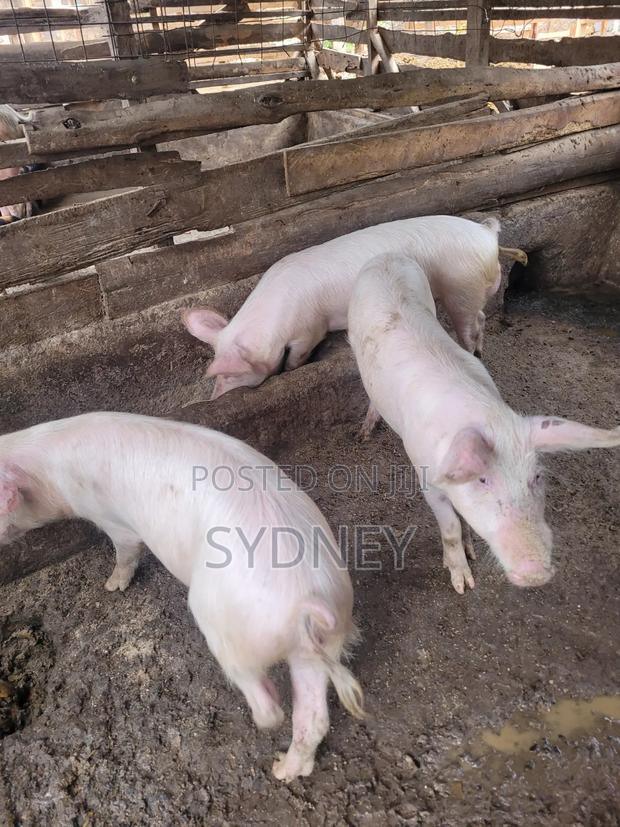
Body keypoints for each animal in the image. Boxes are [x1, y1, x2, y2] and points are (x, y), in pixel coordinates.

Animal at [0, 412, 364, 780]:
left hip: (219, 621)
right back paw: (283, 770)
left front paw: (111, 586)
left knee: (267, 706)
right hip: (315, 647)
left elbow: (125, 551)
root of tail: (308, 596)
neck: (46, 471)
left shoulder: (111, 520)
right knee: (313, 716)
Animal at [182, 215, 527, 399]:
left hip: (460, 287)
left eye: (229, 375)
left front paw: (291, 369)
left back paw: (471, 353)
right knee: (480, 317)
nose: (214, 397)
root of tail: (487, 234)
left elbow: (298, 356)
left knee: (468, 326)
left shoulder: (309, 329)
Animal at [348, 253, 620, 593]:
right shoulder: (426, 476)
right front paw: (463, 584)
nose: (536, 572)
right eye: (482, 480)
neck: (490, 420)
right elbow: (450, 526)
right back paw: (363, 432)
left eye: (537, 477)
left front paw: (471, 552)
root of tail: (385, 256)